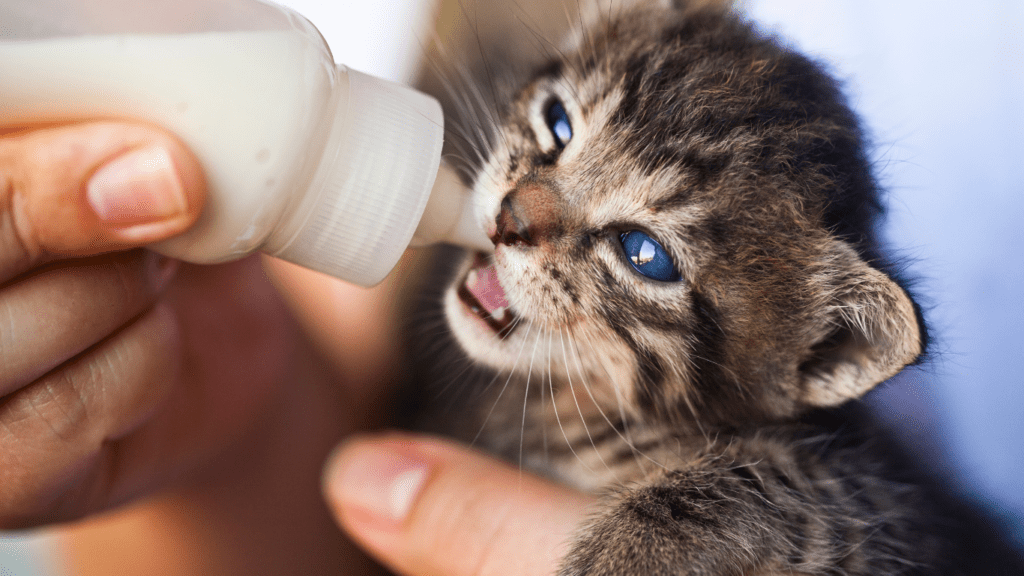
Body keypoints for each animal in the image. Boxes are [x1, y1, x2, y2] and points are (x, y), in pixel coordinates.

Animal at [405, 1, 1024, 569]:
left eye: (644, 254)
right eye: (557, 122)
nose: (507, 219)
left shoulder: (879, 512)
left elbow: (766, 483)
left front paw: (616, 555)